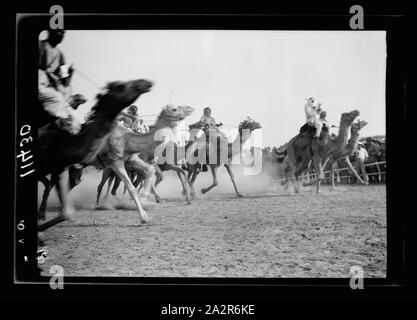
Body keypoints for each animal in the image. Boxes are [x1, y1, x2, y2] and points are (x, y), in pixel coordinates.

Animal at [37, 79, 153, 231]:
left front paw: (145, 203)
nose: (146, 83)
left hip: (73, 167)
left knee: (69, 184)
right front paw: (143, 217)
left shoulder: (130, 159)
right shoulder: (115, 162)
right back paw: (45, 215)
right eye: (121, 86)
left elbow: (149, 170)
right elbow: (131, 188)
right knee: (52, 185)